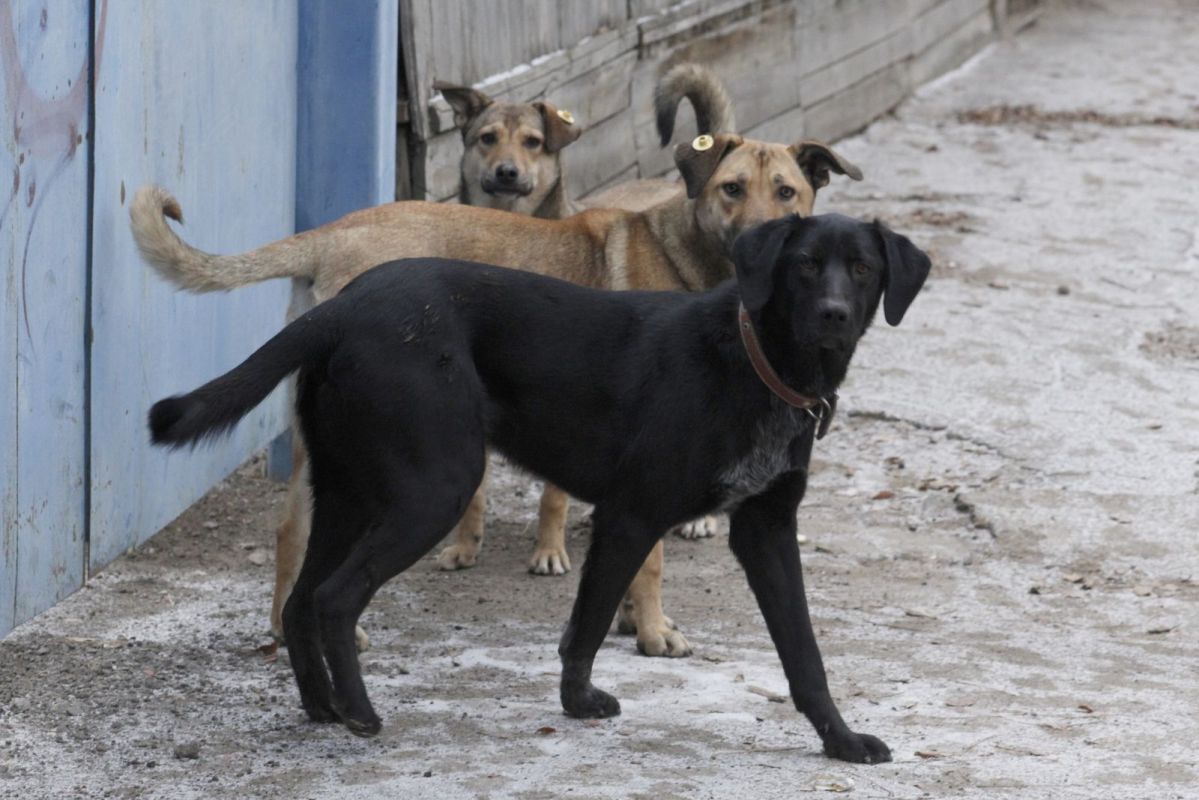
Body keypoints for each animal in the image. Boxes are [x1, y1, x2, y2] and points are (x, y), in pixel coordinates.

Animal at [149, 212, 930, 762]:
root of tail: (340, 307)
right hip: (432, 487)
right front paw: (578, 701)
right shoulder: (630, 514)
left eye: (861, 268)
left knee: (303, 600)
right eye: (804, 267)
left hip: (346, 493)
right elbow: (587, 622)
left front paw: (840, 740)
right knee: (337, 598)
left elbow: (804, 651)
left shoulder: (766, 529)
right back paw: (362, 713)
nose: (833, 315)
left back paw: (321, 708)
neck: (755, 361)